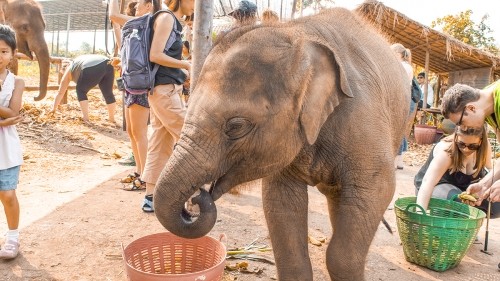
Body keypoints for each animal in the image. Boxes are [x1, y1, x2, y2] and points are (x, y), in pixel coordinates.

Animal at [155, 7, 410, 278]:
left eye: (236, 126)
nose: (196, 199)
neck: (298, 34)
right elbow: (281, 205)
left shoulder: (363, 119)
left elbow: (379, 189)